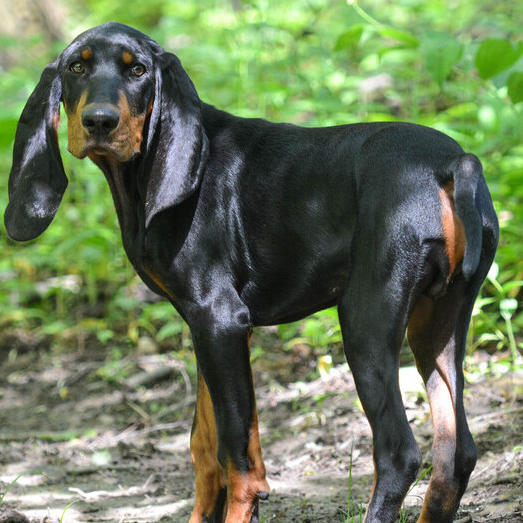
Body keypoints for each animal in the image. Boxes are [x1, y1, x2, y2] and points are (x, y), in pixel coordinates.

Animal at [6, 22, 502, 520]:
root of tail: (451, 164)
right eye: (76, 67)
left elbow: (236, 457)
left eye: (138, 70)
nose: (99, 122)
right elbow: (207, 443)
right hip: (439, 326)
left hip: (366, 323)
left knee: (399, 453)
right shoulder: (210, 328)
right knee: (456, 454)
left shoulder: (219, 318)